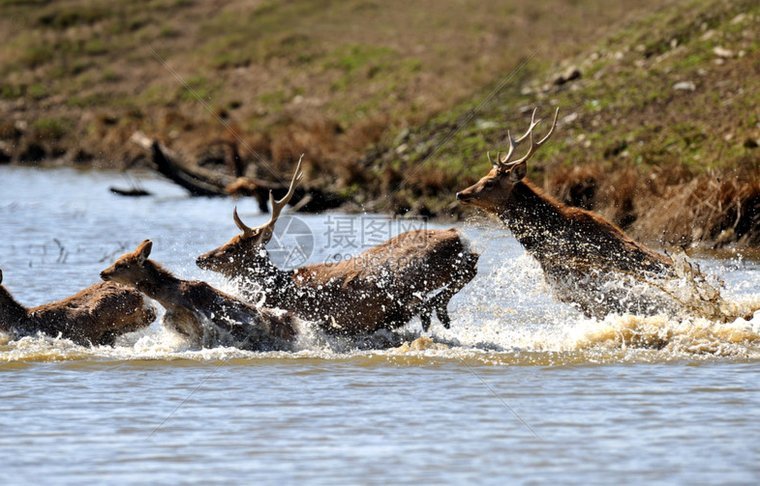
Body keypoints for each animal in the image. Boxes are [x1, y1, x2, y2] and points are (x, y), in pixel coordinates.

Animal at [196, 158, 479, 336]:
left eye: (231, 248)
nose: (200, 257)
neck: (278, 288)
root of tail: (457, 234)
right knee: (471, 263)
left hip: (416, 271)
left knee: (464, 270)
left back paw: (434, 312)